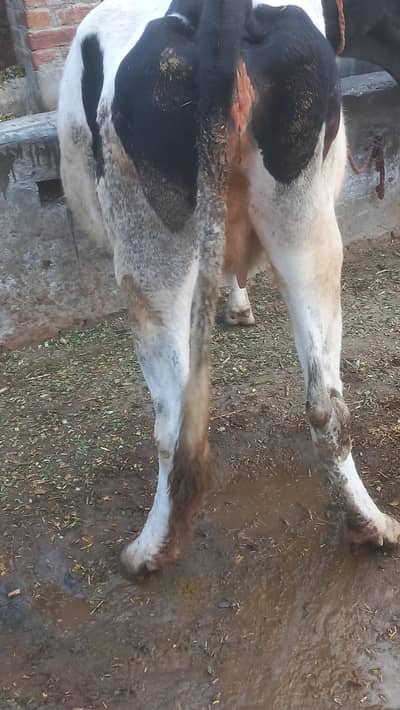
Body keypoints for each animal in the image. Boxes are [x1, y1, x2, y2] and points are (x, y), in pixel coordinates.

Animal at [58, 0, 400, 576]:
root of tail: (216, 15)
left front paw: (235, 306)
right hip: (306, 224)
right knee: (325, 402)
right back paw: (370, 524)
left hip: (145, 244)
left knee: (173, 421)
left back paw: (150, 548)